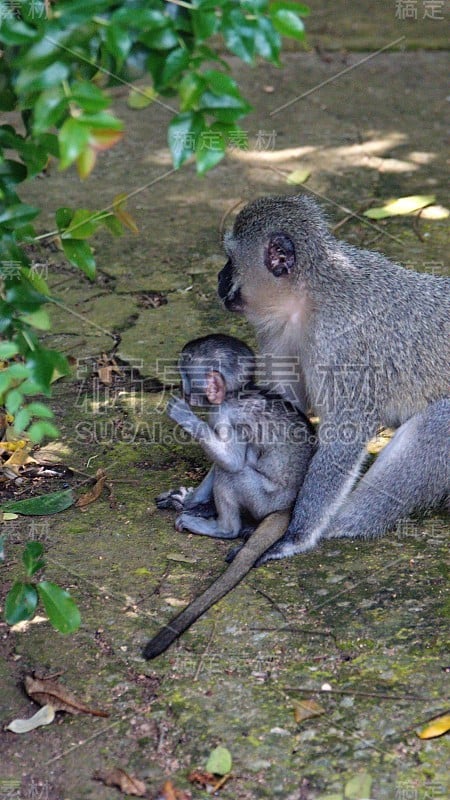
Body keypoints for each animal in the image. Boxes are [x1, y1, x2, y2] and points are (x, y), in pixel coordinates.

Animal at [158, 334, 316, 540]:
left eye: (185, 376)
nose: (181, 386)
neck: (234, 395)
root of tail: (288, 506)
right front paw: (191, 499)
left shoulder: (223, 414)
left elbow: (232, 461)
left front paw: (185, 416)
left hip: (264, 502)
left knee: (232, 474)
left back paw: (225, 529)